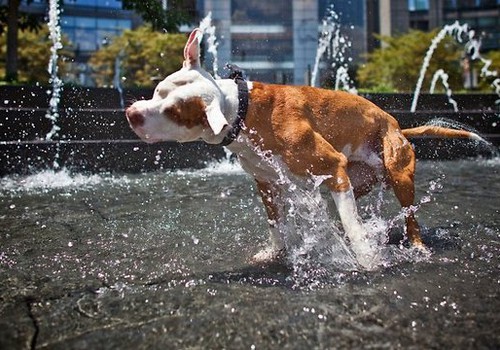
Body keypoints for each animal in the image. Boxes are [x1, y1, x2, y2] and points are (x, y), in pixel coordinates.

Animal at [126, 28, 484, 270]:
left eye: (174, 112)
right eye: (158, 90)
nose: (131, 113)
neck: (243, 110)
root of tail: (396, 124)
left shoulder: (331, 164)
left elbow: (353, 228)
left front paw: (367, 259)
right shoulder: (267, 183)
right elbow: (277, 225)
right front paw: (275, 252)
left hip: (396, 174)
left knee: (408, 217)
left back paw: (417, 246)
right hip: (356, 179)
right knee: (349, 207)